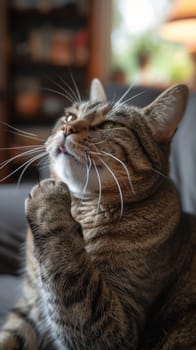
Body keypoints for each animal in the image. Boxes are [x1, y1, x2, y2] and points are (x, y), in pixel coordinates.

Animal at [0, 80, 196, 350]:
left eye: (109, 125)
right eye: (70, 116)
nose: (67, 127)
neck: (82, 208)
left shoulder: (121, 326)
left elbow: (72, 277)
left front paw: (49, 199)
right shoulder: (30, 308)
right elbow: (9, 334)